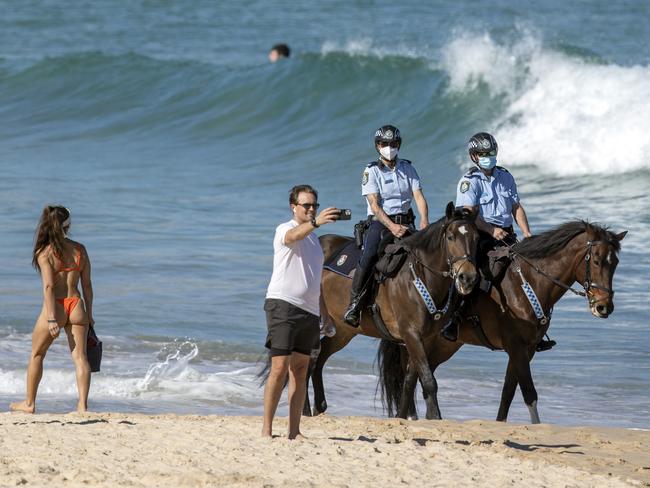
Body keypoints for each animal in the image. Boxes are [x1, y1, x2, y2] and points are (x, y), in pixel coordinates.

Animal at [306, 202, 478, 420]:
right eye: (450, 237)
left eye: (476, 238)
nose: (467, 277)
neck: (419, 276)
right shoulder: (411, 333)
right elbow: (427, 380)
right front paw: (435, 417)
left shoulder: (424, 338)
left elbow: (411, 379)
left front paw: (403, 416)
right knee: (307, 359)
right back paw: (304, 409)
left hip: (343, 331)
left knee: (319, 358)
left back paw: (319, 406)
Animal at [378, 221, 624, 424]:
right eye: (597, 261)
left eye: (615, 263)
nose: (604, 307)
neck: (527, 281)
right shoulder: (515, 346)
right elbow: (529, 392)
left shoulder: (527, 349)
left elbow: (508, 391)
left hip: (442, 345)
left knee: (415, 375)